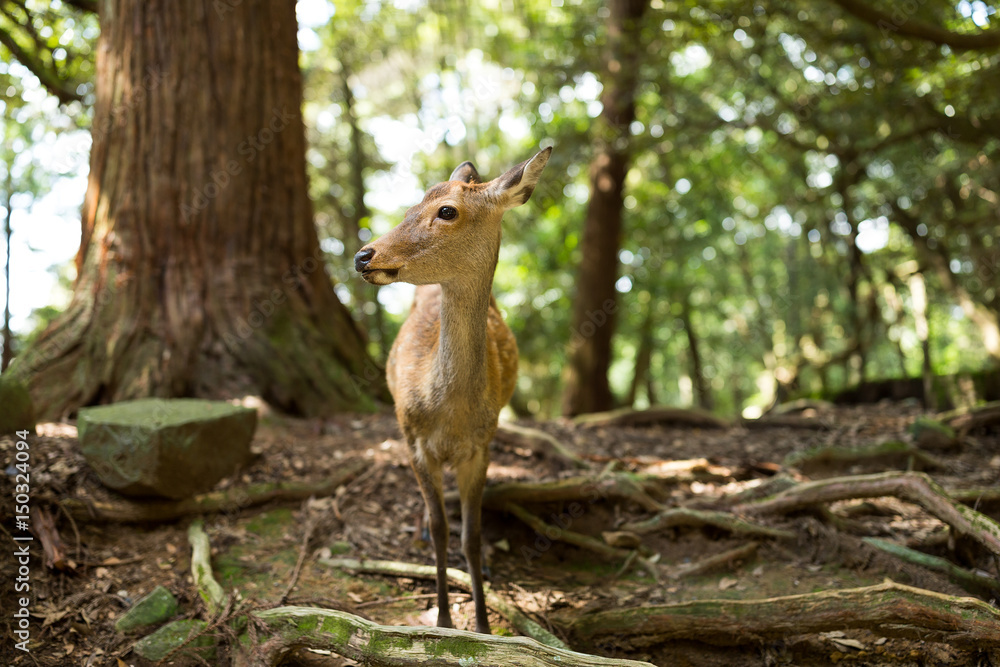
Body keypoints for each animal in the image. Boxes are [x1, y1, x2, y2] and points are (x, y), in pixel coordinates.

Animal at [354, 146, 552, 634]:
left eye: (447, 211)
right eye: (409, 206)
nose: (363, 255)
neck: (450, 415)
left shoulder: (482, 446)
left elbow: (471, 537)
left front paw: (481, 626)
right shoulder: (412, 439)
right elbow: (443, 531)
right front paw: (443, 619)